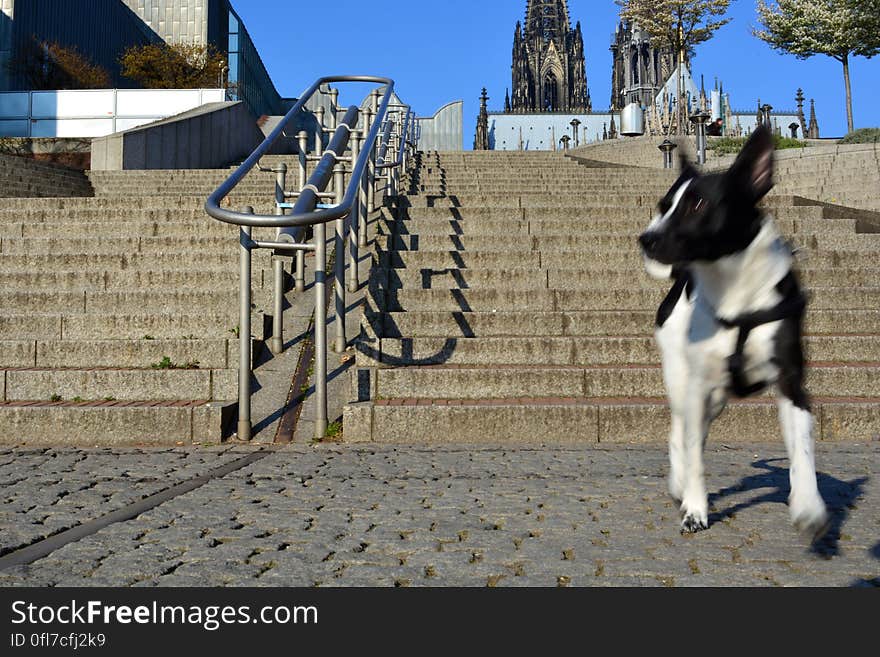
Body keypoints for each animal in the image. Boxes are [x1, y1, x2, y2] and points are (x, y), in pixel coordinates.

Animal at [636, 125, 828, 536]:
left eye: (697, 205)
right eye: (663, 206)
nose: (645, 239)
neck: (734, 291)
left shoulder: (791, 383)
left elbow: (802, 451)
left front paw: (808, 504)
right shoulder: (696, 387)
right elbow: (694, 456)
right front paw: (695, 508)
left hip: (717, 398)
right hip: (682, 380)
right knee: (681, 431)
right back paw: (679, 483)